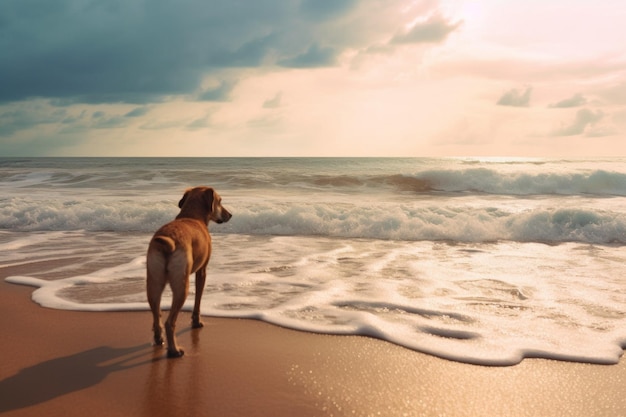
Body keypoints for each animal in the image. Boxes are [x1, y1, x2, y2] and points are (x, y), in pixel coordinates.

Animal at [145, 186, 230, 358]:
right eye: (220, 201)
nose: (230, 215)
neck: (192, 216)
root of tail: (168, 242)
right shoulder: (202, 271)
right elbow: (198, 299)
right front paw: (196, 322)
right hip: (181, 284)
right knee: (170, 322)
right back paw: (174, 350)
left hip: (153, 281)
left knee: (156, 315)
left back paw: (159, 339)